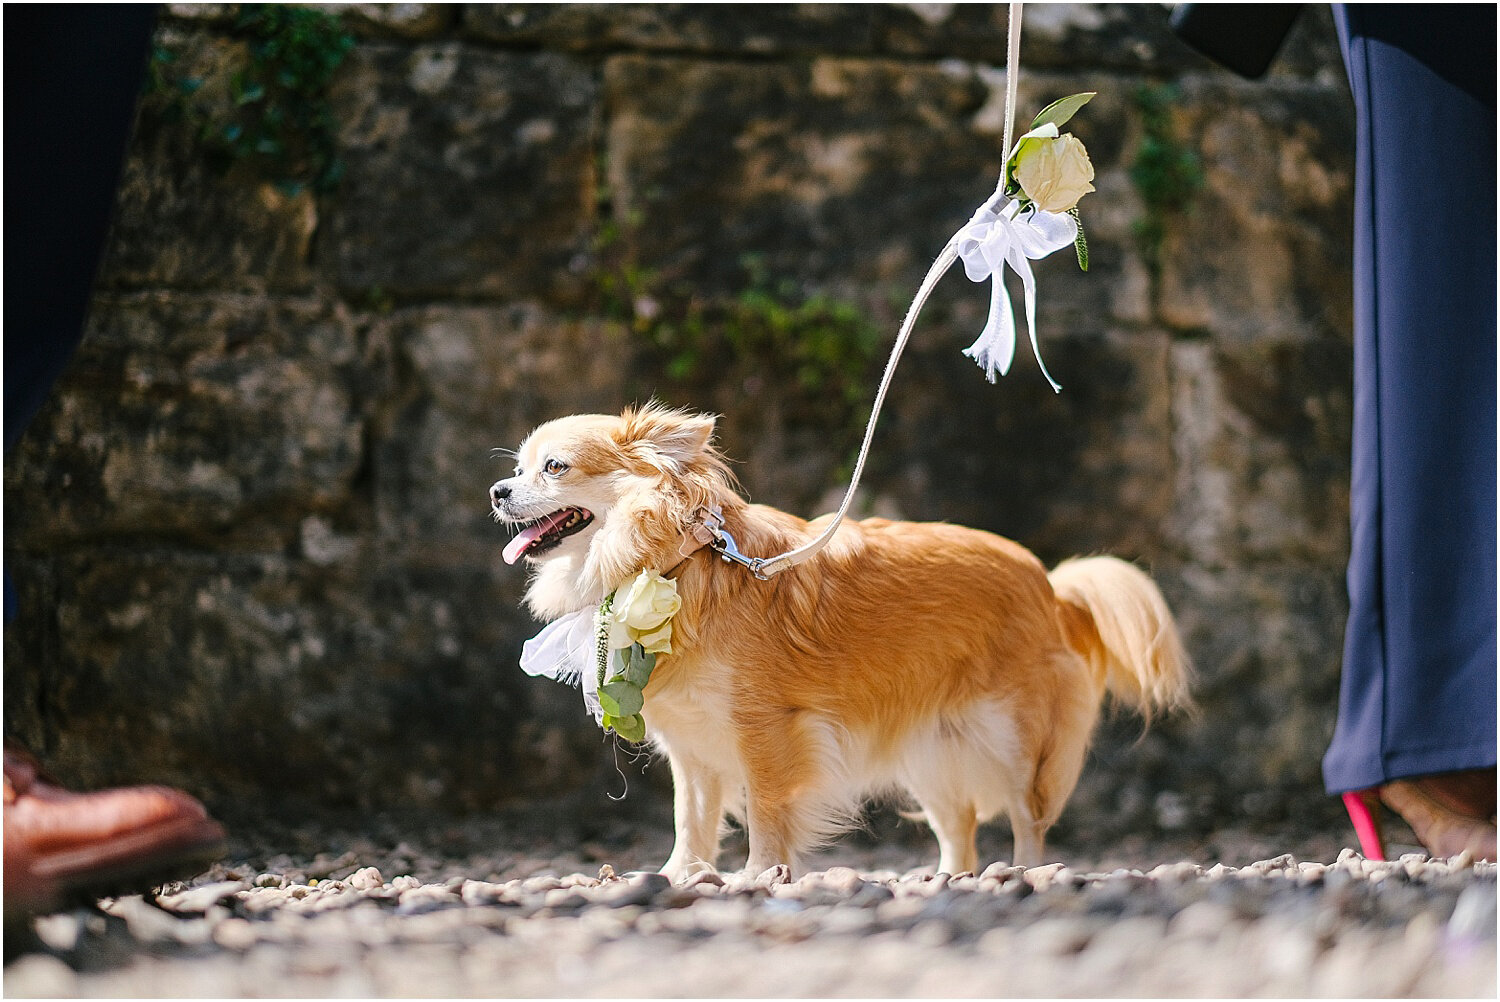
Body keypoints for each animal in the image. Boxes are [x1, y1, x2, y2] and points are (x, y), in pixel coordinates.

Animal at [492, 402, 1194, 882]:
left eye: (553, 468)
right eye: (519, 469)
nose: (497, 489)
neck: (676, 565)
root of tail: (1051, 587)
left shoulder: (765, 732)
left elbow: (767, 811)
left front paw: (758, 876)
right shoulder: (692, 752)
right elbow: (690, 820)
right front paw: (677, 878)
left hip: (1015, 740)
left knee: (1026, 814)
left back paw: (1019, 872)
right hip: (927, 751)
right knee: (960, 825)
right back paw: (951, 878)